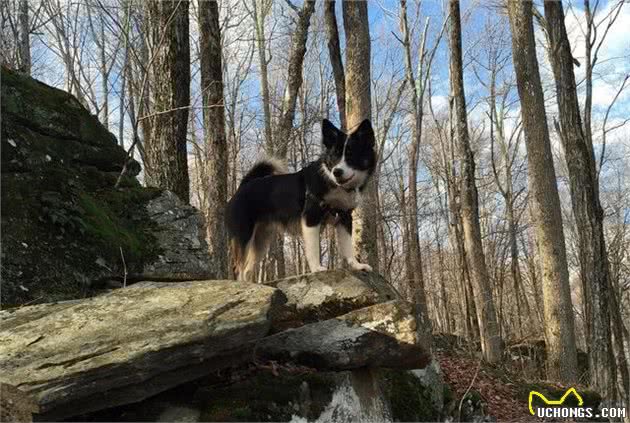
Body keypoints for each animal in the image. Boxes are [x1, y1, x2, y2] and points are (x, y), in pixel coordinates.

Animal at [226, 119, 376, 284]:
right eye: (334, 156)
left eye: (351, 155)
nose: (337, 171)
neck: (332, 183)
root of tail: (243, 186)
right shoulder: (311, 217)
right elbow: (313, 249)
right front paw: (317, 268)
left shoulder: (344, 218)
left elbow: (348, 246)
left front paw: (356, 265)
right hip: (244, 236)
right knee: (238, 268)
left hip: (261, 240)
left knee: (247, 269)